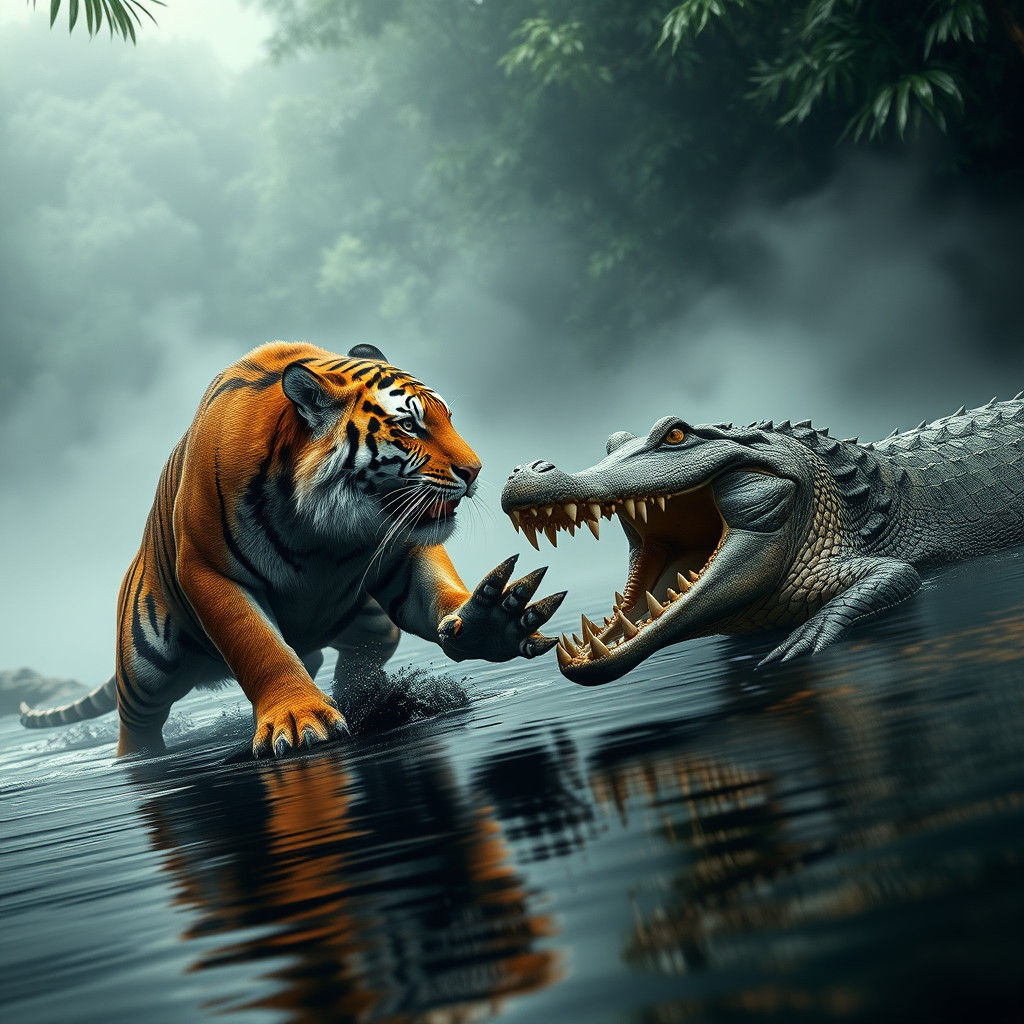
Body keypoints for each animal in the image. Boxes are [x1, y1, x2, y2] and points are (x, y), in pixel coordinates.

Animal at [20, 342, 564, 757]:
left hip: (368, 622)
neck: (323, 532)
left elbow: (436, 593)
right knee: (138, 726)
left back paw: (372, 699)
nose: (475, 471)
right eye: (409, 426)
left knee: (353, 655)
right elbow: (259, 646)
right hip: (143, 668)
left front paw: (487, 621)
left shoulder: (401, 544)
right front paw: (300, 721)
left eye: (448, 416)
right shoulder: (207, 570)